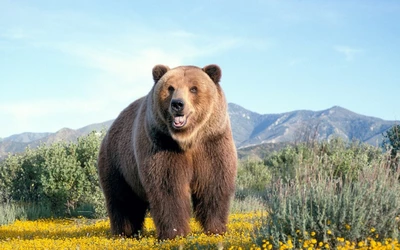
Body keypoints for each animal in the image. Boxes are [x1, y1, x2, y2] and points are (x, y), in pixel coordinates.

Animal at [97, 63, 238, 239]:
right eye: (170, 88)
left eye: (193, 88)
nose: (177, 104)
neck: (188, 139)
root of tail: (110, 129)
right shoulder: (162, 144)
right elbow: (168, 188)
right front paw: (175, 233)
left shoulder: (212, 143)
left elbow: (213, 184)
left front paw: (216, 229)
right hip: (118, 163)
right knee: (123, 200)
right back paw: (125, 232)